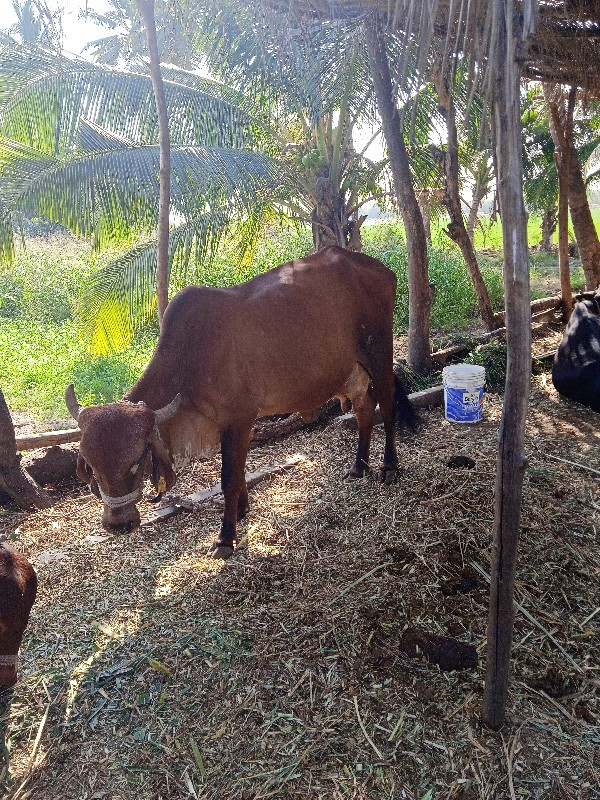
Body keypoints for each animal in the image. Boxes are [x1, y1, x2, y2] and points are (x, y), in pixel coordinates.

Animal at [64, 245, 412, 556]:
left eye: (137, 460)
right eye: (91, 465)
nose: (118, 524)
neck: (190, 360)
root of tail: (377, 266)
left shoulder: (240, 419)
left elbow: (230, 477)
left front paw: (225, 538)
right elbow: (240, 472)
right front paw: (242, 511)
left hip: (379, 354)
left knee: (387, 405)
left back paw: (389, 466)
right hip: (352, 373)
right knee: (364, 410)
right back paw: (358, 466)